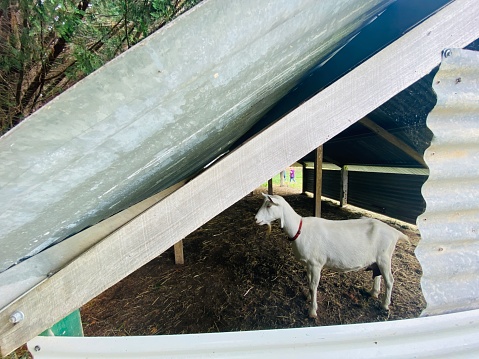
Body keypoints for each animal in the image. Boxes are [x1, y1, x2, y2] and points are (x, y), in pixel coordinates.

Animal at [255, 195, 408, 320]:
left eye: (269, 206)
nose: (255, 219)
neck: (300, 229)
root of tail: (395, 233)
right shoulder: (308, 264)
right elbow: (309, 283)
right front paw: (308, 297)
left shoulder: (316, 263)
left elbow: (314, 285)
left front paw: (312, 311)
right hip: (377, 259)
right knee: (378, 275)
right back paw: (373, 293)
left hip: (385, 257)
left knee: (390, 280)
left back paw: (385, 304)